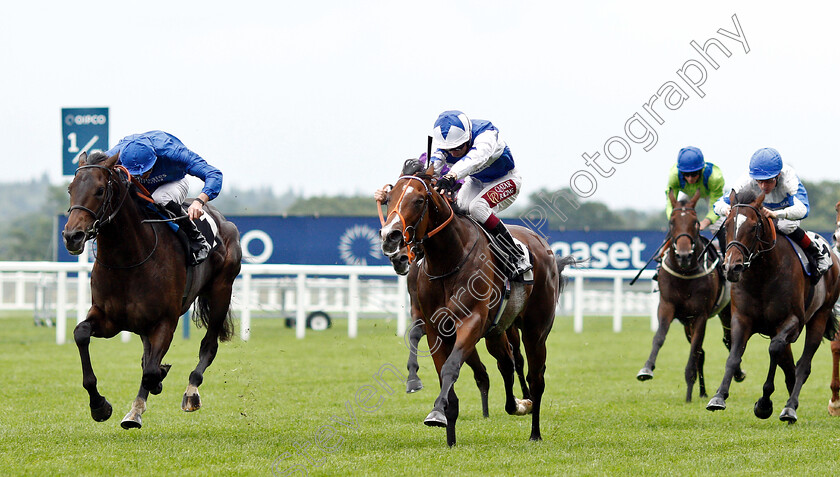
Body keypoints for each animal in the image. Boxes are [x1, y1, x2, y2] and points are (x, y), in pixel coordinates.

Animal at [61, 152, 240, 428]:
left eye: (100, 190)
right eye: (70, 189)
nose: (73, 236)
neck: (128, 260)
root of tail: (223, 220)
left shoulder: (165, 321)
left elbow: (151, 371)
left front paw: (154, 385)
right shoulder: (108, 319)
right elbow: (81, 334)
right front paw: (99, 405)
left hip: (221, 290)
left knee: (208, 346)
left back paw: (190, 391)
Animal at [378, 165, 572, 446]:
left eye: (419, 200)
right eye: (388, 199)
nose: (390, 238)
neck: (448, 261)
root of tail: (542, 245)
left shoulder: (471, 322)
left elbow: (451, 368)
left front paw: (436, 412)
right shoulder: (435, 327)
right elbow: (440, 367)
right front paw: (447, 431)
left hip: (535, 330)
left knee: (535, 377)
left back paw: (534, 429)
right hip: (497, 332)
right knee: (506, 363)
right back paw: (516, 404)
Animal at [632, 190, 744, 402]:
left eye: (695, 222)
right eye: (671, 222)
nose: (684, 255)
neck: (684, 274)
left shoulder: (700, 315)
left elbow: (694, 351)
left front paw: (689, 390)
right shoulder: (667, 306)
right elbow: (659, 337)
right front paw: (647, 369)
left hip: (725, 312)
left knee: (727, 341)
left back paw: (737, 374)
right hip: (686, 322)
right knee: (702, 352)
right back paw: (702, 391)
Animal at [704, 188, 836, 422]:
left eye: (753, 226)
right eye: (727, 225)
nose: (732, 267)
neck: (762, 275)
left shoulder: (791, 321)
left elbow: (774, 349)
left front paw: (764, 403)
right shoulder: (741, 319)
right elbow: (734, 355)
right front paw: (718, 397)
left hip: (819, 317)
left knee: (803, 364)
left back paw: (790, 407)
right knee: (790, 364)